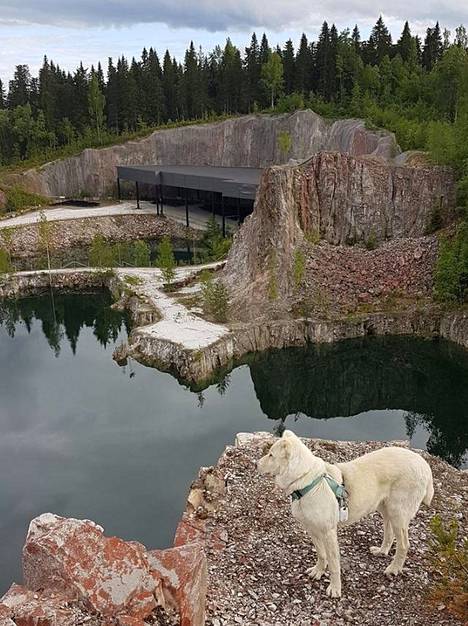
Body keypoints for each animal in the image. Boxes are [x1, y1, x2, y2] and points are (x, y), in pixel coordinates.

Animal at [258, 428, 434, 596]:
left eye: (271, 455)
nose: (256, 464)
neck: (308, 481)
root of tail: (424, 465)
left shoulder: (328, 533)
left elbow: (333, 563)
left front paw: (335, 589)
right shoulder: (312, 530)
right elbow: (321, 554)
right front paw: (318, 571)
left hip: (398, 513)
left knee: (404, 544)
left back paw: (394, 568)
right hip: (385, 507)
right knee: (389, 532)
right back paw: (381, 551)